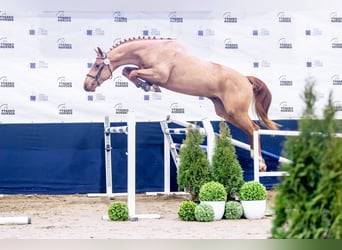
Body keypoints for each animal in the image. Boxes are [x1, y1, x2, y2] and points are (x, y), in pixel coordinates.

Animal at [83, 37, 278, 171]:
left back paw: (260, 163)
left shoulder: (159, 74)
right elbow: (127, 70)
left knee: (254, 129)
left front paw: (149, 86)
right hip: (226, 112)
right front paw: (147, 85)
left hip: (236, 111)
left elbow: (132, 73)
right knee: (250, 130)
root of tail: (245, 79)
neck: (151, 50)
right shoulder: (145, 69)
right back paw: (255, 159)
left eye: (96, 65)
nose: (86, 86)